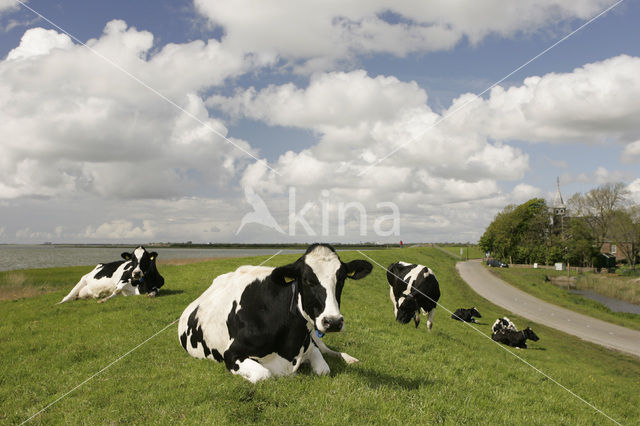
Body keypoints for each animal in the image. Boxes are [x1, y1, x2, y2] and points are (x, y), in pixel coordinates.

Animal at [178, 243, 372, 382]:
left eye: (342, 279)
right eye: (307, 280)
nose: (333, 322)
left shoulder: (310, 345)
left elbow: (324, 369)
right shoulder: (231, 354)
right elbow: (263, 375)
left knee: (328, 350)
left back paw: (350, 358)